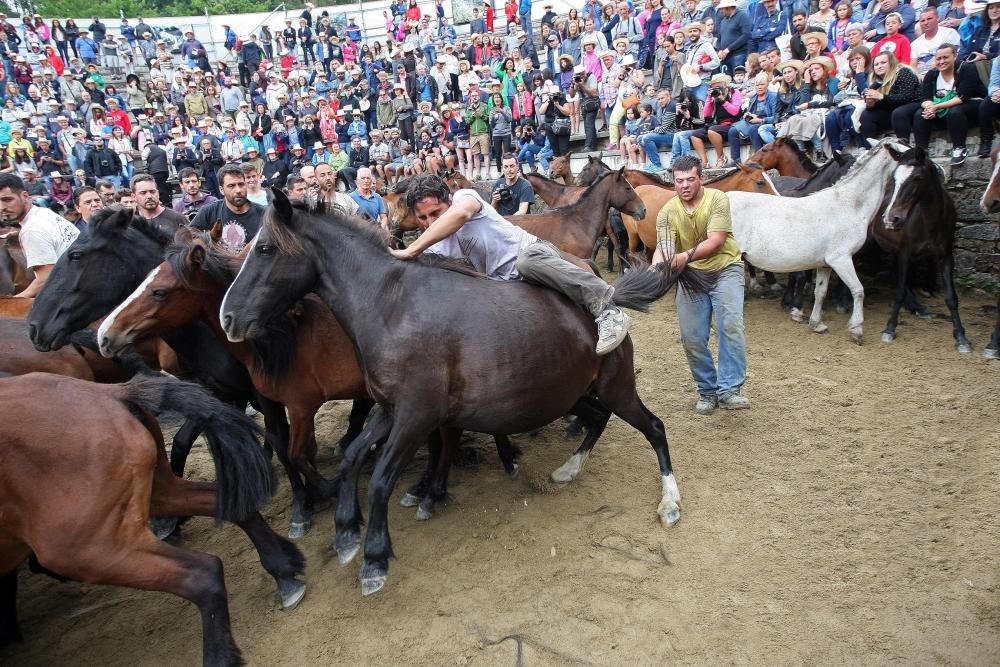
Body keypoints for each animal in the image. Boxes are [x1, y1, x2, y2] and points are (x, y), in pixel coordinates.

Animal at [0, 376, 304, 664]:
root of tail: (113, 393)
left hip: (84, 547)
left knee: (203, 573)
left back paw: (220, 657)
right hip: (158, 493)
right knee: (230, 506)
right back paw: (284, 572)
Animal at [880, 147, 972, 354]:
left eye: (917, 178)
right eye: (894, 178)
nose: (891, 219)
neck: (930, 221)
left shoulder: (946, 256)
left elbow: (952, 298)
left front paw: (961, 336)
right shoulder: (905, 254)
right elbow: (899, 292)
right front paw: (890, 328)